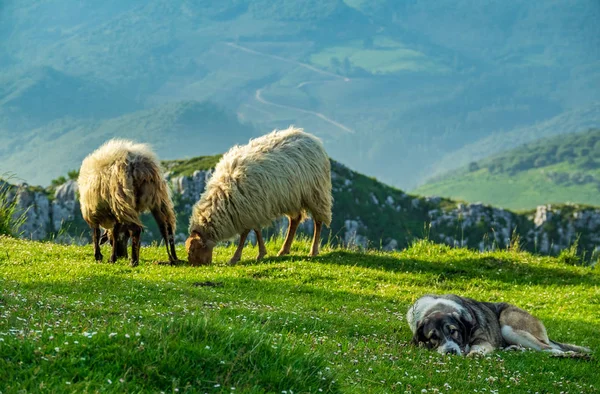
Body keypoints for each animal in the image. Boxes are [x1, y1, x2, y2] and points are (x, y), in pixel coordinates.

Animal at [76, 139, 178, 268]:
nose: (122, 255)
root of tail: (139, 165)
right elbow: (115, 232)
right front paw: (112, 257)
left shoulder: (92, 213)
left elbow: (96, 234)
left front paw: (99, 256)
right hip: (158, 197)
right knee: (168, 229)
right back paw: (173, 258)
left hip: (121, 199)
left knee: (136, 229)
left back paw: (133, 261)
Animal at [186, 127, 332, 266]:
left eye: (193, 250)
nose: (195, 266)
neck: (223, 194)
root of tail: (312, 138)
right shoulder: (248, 210)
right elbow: (254, 231)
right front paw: (255, 254)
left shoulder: (251, 208)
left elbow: (247, 233)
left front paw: (242, 256)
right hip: (292, 197)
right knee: (295, 220)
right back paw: (284, 250)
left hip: (315, 193)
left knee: (318, 221)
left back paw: (313, 251)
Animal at [408, 296, 592, 358]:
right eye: (433, 337)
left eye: (453, 331)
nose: (450, 352)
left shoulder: (482, 339)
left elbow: (478, 347)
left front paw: (474, 353)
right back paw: (514, 349)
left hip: (509, 328)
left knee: (551, 349)